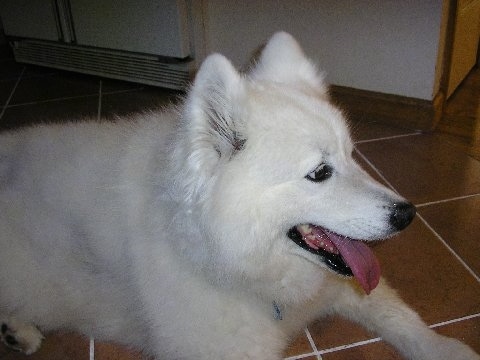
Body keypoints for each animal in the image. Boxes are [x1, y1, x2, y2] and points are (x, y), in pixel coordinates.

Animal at [0, 32, 478, 358]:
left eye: (352, 155)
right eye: (320, 173)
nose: (407, 214)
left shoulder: (345, 286)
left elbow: (401, 317)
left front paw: (446, 349)